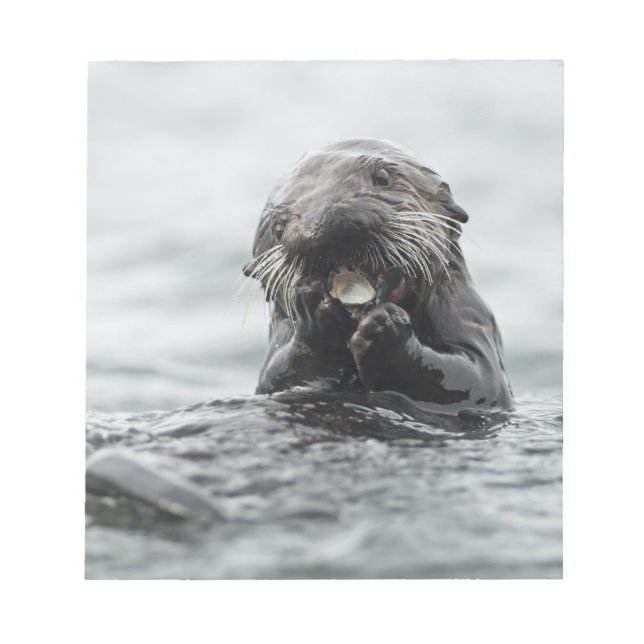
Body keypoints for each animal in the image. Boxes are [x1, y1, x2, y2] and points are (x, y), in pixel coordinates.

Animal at [243, 139, 513, 410]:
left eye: (383, 177)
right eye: (278, 227)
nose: (324, 225)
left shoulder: (469, 316)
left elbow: (477, 378)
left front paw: (386, 327)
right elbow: (279, 377)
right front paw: (315, 316)